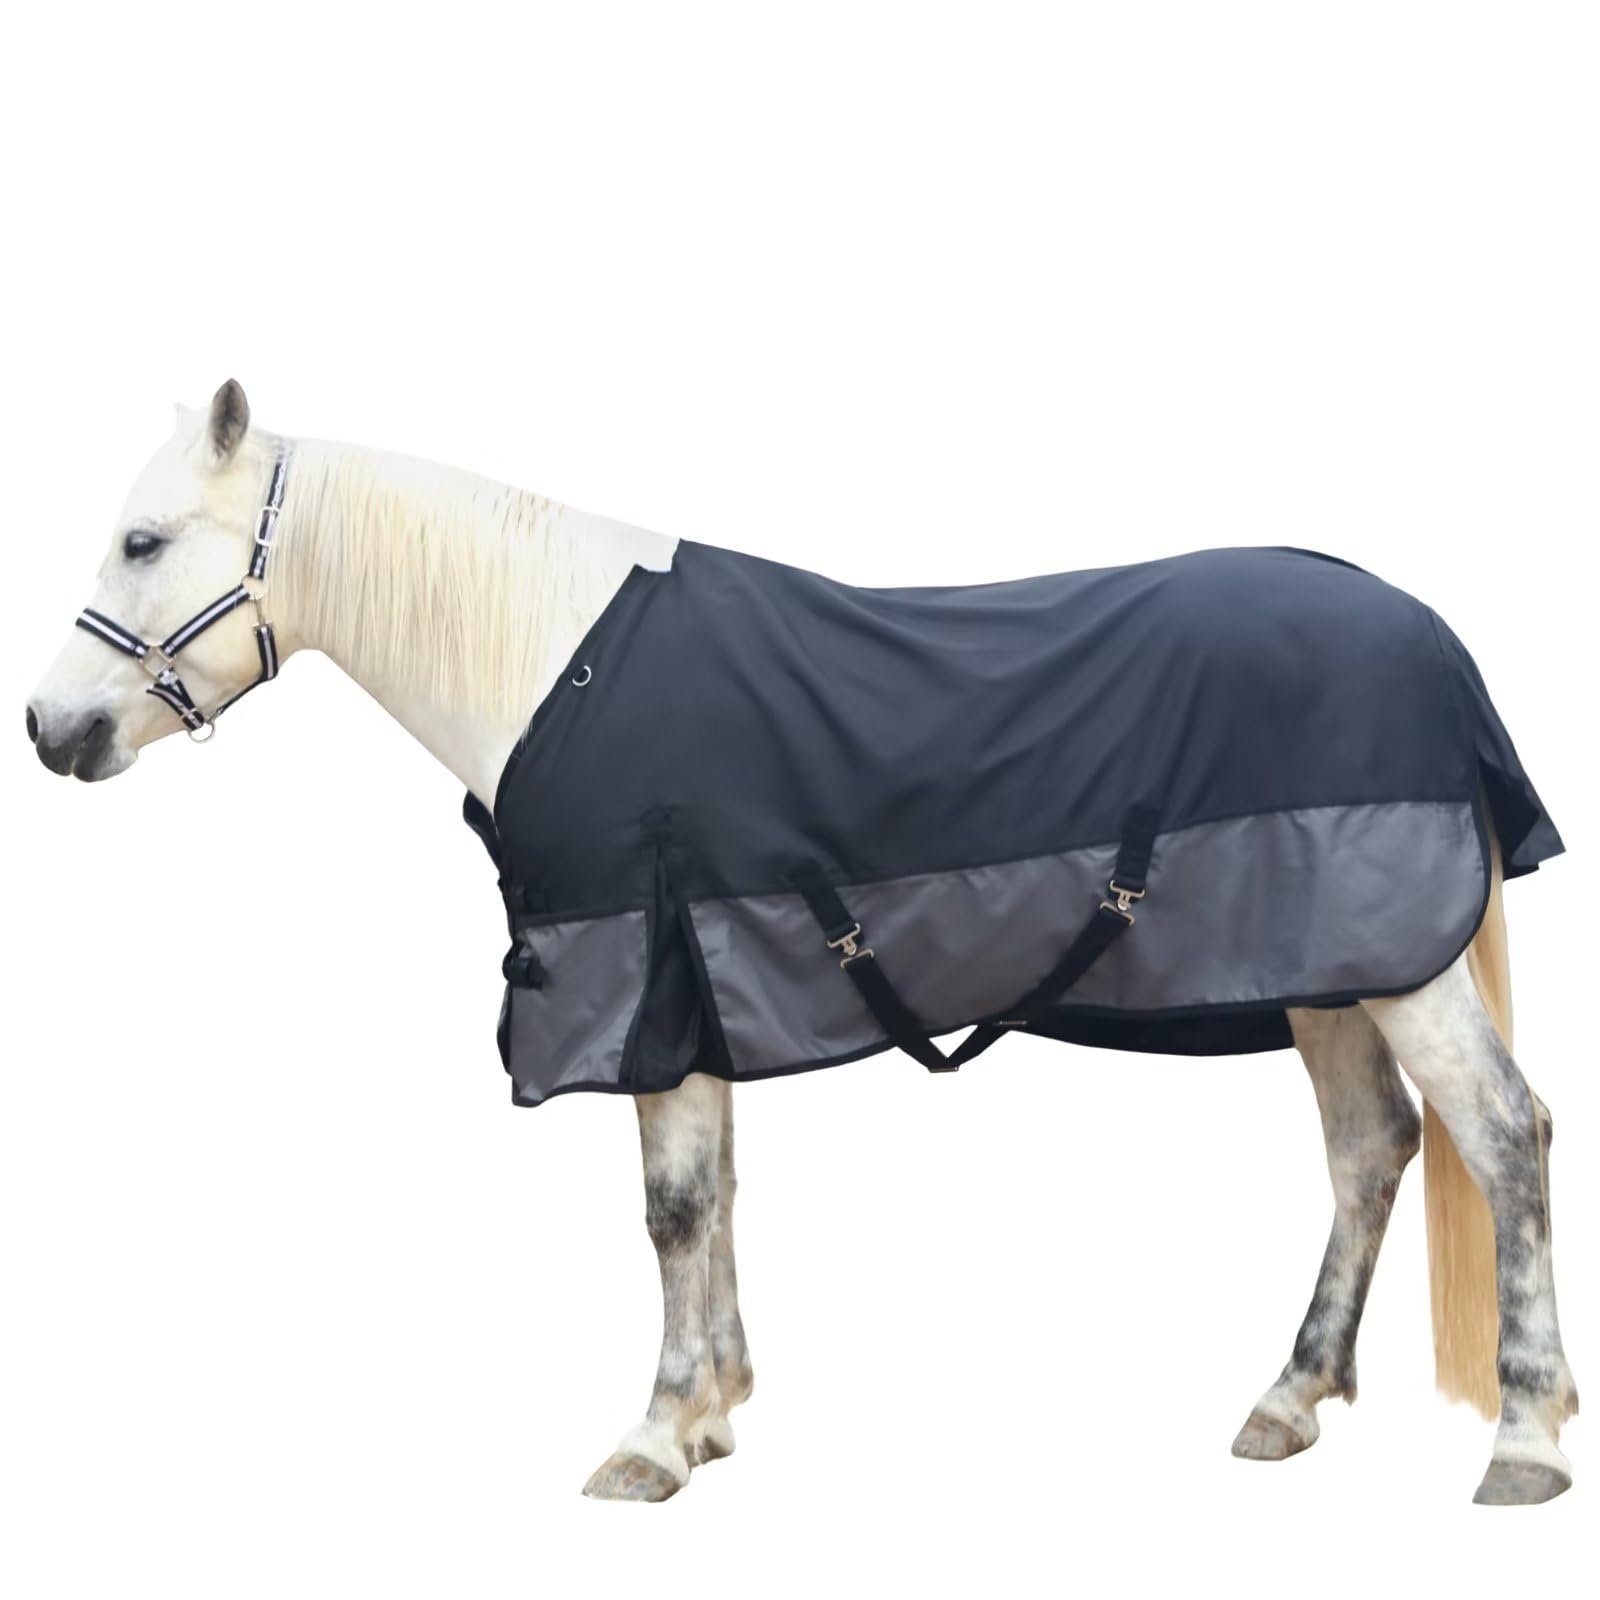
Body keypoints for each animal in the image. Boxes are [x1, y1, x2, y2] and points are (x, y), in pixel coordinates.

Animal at [25, 380, 1578, 1505]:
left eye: (145, 542)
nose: (50, 729)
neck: (552, 663)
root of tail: (1427, 636)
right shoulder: (696, 985)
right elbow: (710, 1200)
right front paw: (713, 1414)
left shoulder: (645, 983)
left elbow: (670, 1209)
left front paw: (653, 1439)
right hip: (1331, 972)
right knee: (1372, 1149)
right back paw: (1288, 1399)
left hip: (1397, 968)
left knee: (1503, 1136)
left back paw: (1526, 1436)